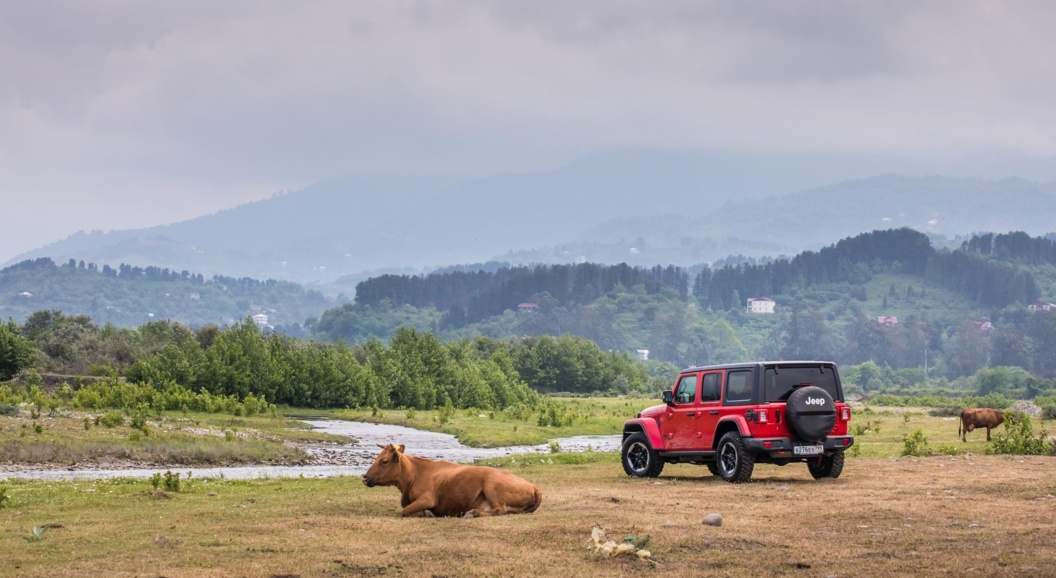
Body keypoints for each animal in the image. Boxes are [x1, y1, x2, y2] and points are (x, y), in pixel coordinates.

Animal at [363, 443, 544, 519]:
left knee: (500, 509)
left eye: (384, 461)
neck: (415, 474)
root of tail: (534, 486)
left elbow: (405, 510)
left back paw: (472, 513)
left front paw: (427, 513)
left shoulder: (427, 499)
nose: (364, 477)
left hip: (491, 483)